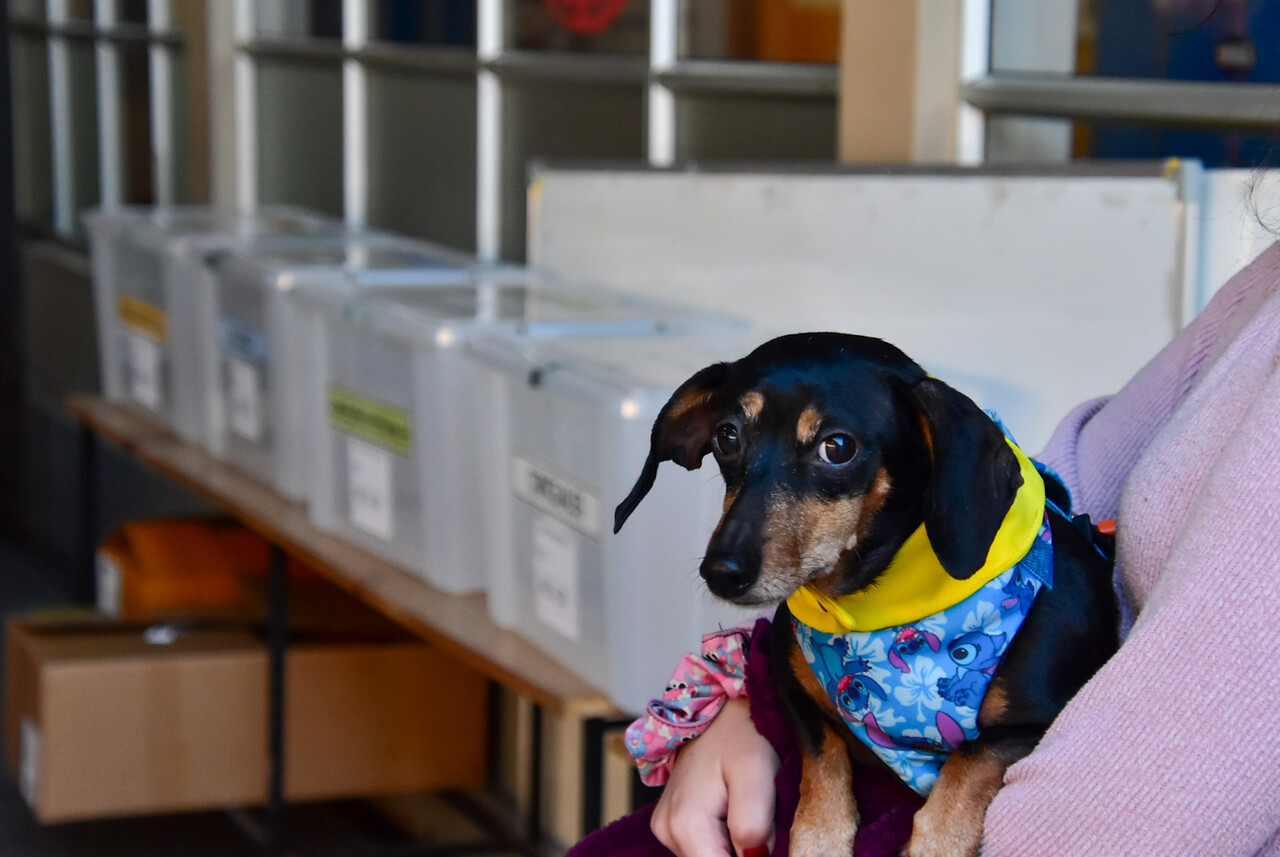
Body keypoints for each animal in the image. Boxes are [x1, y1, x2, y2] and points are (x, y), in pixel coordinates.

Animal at [614, 335, 1116, 857]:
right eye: (727, 436)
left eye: (837, 447)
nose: (721, 572)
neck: (873, 614)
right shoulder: (790, 687)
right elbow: (823, 760)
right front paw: (819, 837)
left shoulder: (1040, 722)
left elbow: (970, 759)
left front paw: (937, 842)